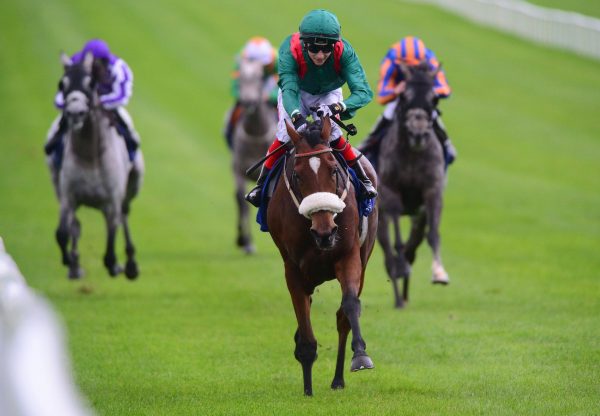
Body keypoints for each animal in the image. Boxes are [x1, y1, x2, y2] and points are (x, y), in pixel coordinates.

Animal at [47, 52, 144, 280]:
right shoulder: (68, 197)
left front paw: (115, 265)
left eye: (91, 84)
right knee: (75, 226)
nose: (75, 113)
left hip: (133, 183)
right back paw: (75, 265)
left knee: (125, 214)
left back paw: (130, 263)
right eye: (62, 84)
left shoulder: (112, 201)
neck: (90, 156)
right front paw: (70, 261)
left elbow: (111, 241)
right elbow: (62, 233)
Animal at [266, 115, 376, 394]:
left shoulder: (348, 256)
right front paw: (307, 388)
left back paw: (338, 379)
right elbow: (304, 325)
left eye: (334, 169)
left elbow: (349, 306)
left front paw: (360, 356)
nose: (325, 232)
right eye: (297, 174)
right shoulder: (293, 269)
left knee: (342, 316)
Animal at [378, 61, 448, 308]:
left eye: (434, 98)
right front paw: (400, 268)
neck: (412, 155)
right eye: (404, 96)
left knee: (413, 246)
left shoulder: (432, 191)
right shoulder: (390, 191)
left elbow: (433, 234)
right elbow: (397, 242)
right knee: (387, 252)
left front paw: (439, 273)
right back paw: (399, 297)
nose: (419, 134)